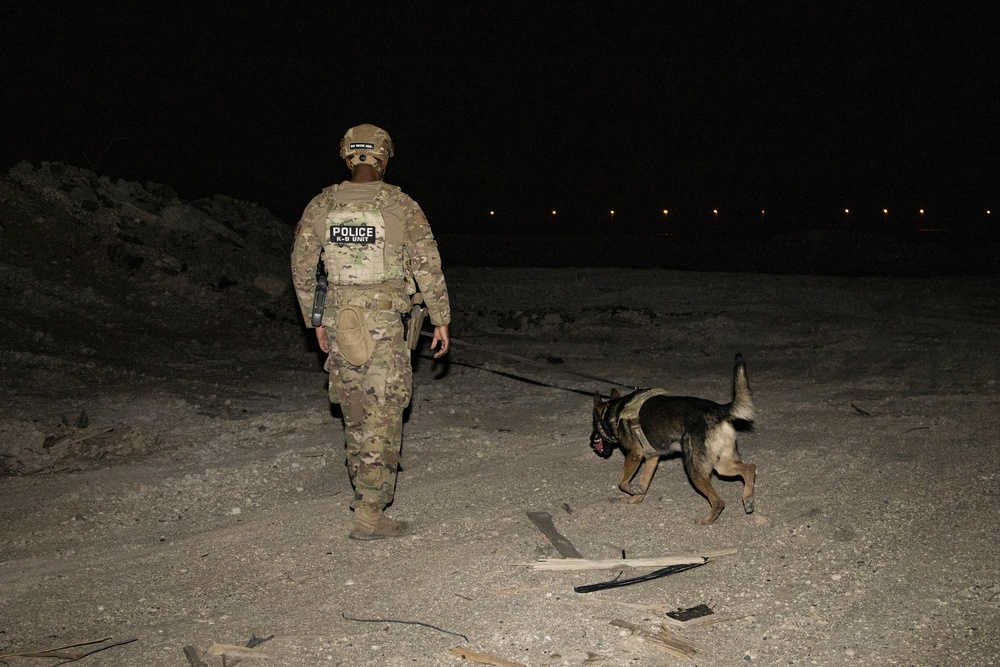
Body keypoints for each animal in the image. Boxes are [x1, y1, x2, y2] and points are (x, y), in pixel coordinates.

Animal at [584, 354, 756, 528]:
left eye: (594, 425)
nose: (591, 440)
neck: (615, 412)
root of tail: (718, 410)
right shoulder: (652, 459)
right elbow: (644, 482)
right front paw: (636, 498)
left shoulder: (634, 455)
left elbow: (622, 481)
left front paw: (632, 490)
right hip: (721, 465)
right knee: (749, 468)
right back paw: (748, 499)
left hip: (694, 469)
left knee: (719, 501)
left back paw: (706, 520)